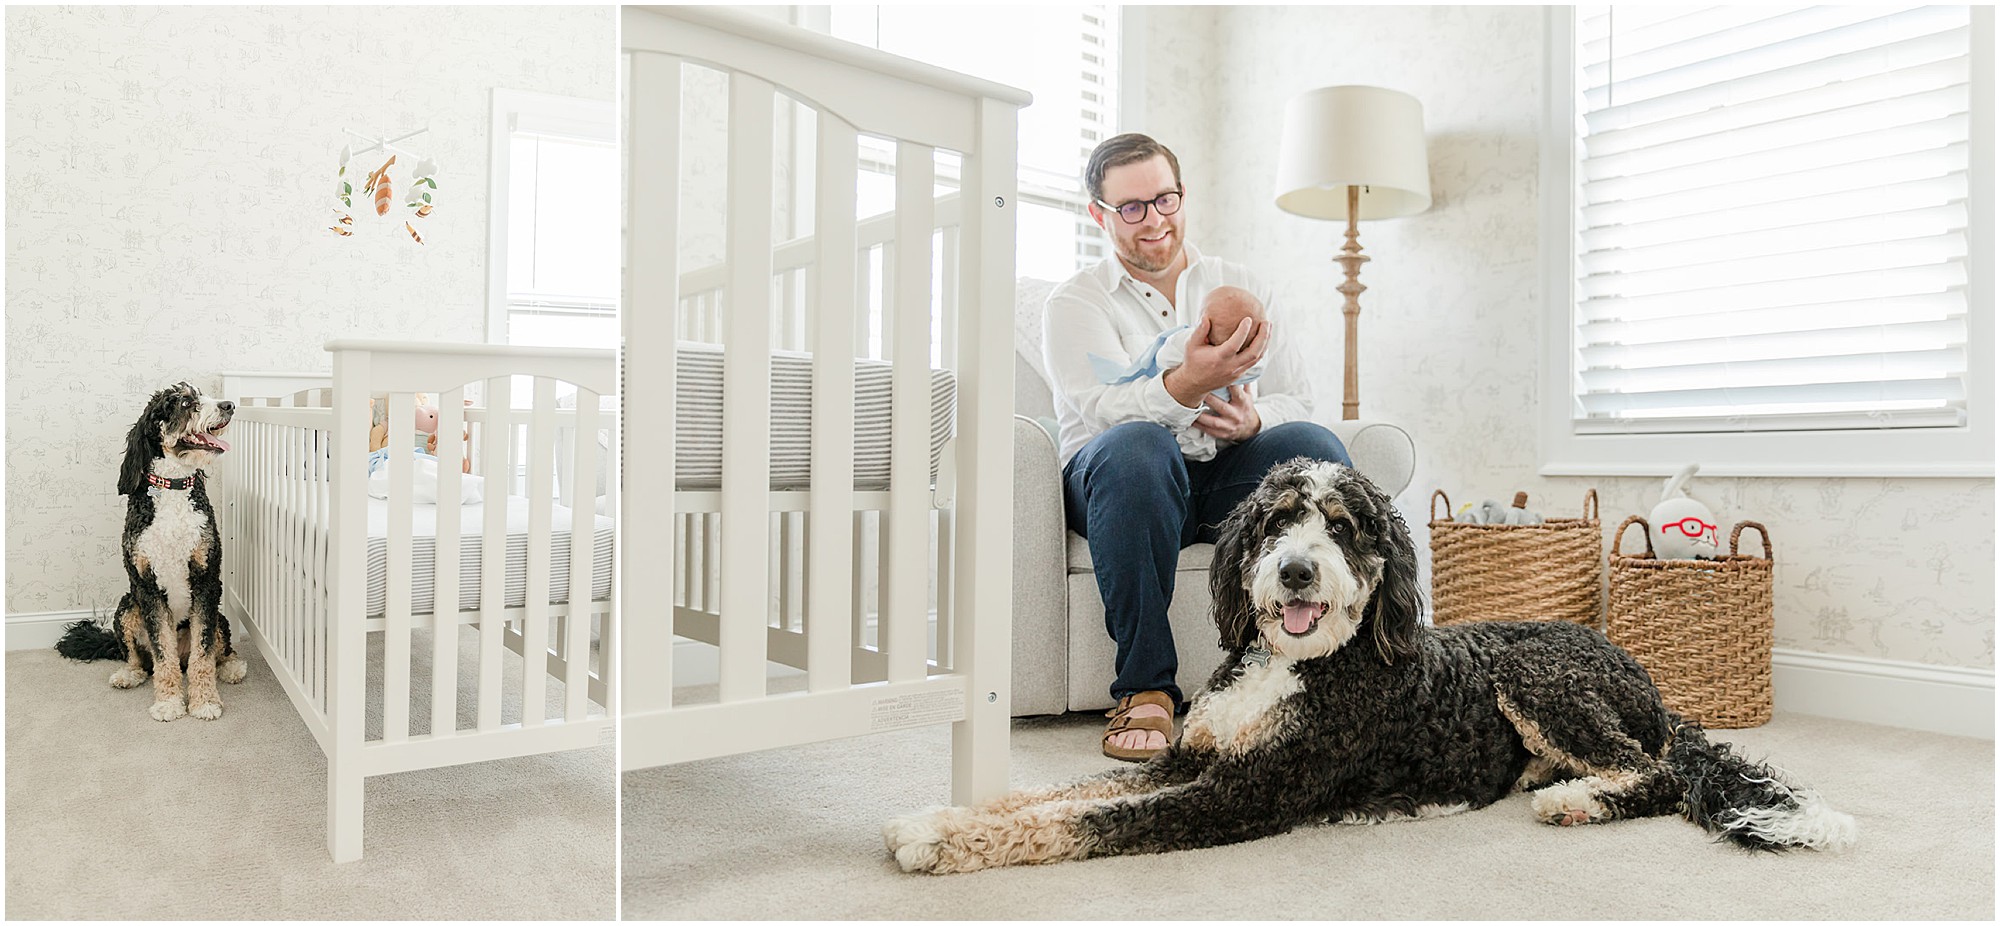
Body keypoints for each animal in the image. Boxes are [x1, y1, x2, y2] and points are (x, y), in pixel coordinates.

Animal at [57, 380, 246, 720]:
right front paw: (170, 702)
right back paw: (128, 674)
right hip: (127, 607)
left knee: (219, 651)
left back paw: (231, 668)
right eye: (185, 402)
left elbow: (203, 652)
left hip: (219, 617)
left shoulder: (207, 578)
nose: (229, 405)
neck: (173, 487)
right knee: (138, 659)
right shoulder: (146, 585)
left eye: (202, 395)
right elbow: (162, 654)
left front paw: (204, 701)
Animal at [884, 460, 1848, 872]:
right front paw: (945, 814)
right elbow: (1054, 794)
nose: (1295, 571)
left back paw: (1575, 800)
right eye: (1276, 520)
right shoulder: (1190, 759)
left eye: (1345, 528)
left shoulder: (1242, 794)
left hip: (1538, 680)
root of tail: (1641, 671)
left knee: (1653, 773)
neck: (1298, 665)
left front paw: (941, 842)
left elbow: (1087, 820)